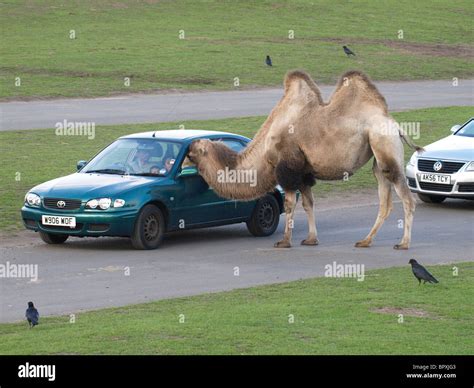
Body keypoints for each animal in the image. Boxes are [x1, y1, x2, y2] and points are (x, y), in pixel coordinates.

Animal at [187, 70, 420, 249]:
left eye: (194, 150)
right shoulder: (304, 172)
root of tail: (395, 125)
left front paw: (284, 242)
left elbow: (290, 205)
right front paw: (311, 239)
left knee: (406, 198)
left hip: (383, 141)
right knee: (385, 200)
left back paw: (403, 243)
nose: (185, 152)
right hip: (378, 155)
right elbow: (309, 203)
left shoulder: (287, 168)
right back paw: (365, 241)